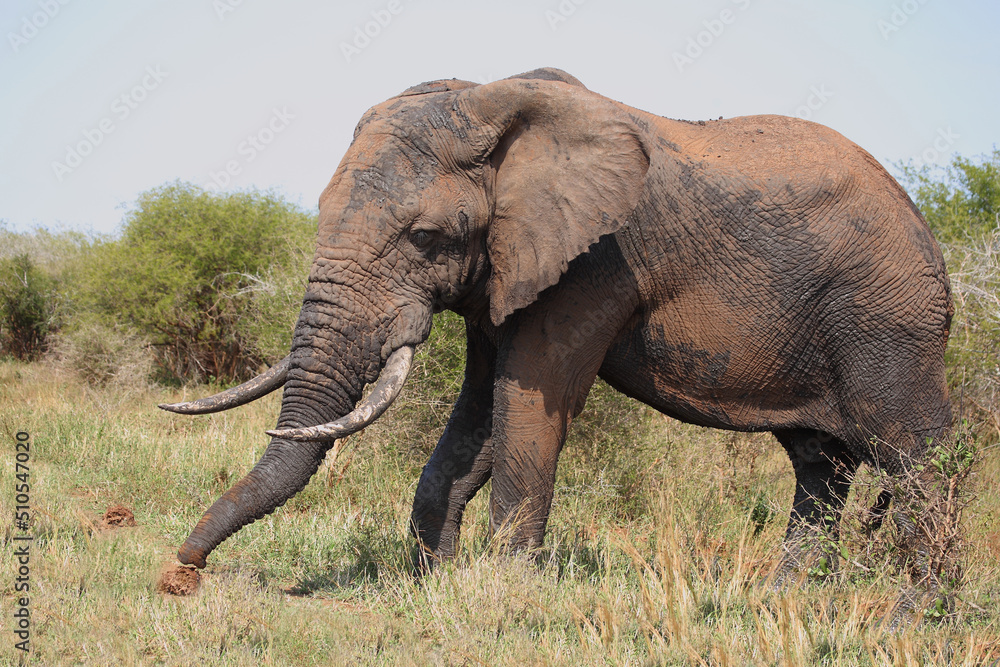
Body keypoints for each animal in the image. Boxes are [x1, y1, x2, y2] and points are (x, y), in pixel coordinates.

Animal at [161, 68, 952, 578]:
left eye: (425, 237)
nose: (183, 568)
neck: (491, 104)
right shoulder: (506, 268)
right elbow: (479, 415)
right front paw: (433, 583)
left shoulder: (596, 262)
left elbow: (528, 403)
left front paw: (505, 596)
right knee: (822, 466)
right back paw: (789, 601)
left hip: (889, 321)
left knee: (919, 458)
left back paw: (915, 617)